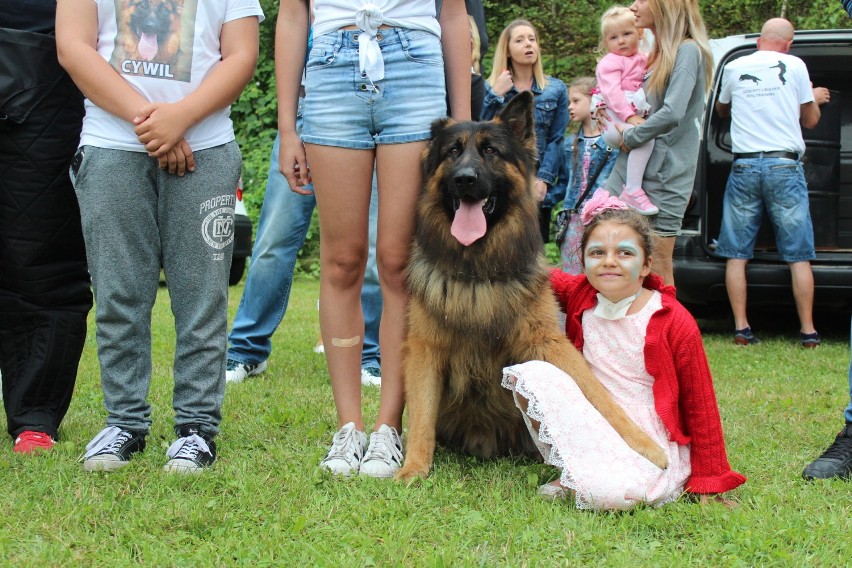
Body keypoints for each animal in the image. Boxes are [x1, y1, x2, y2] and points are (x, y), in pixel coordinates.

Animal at [396, 92, 668, 480]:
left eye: (490, 150)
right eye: (452, 152)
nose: (464, 179)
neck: (479, 271)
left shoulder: (547, 342)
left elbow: (597, 393)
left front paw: (642, 443)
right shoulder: (425, 348)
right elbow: (420, 416)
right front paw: (413, 468)